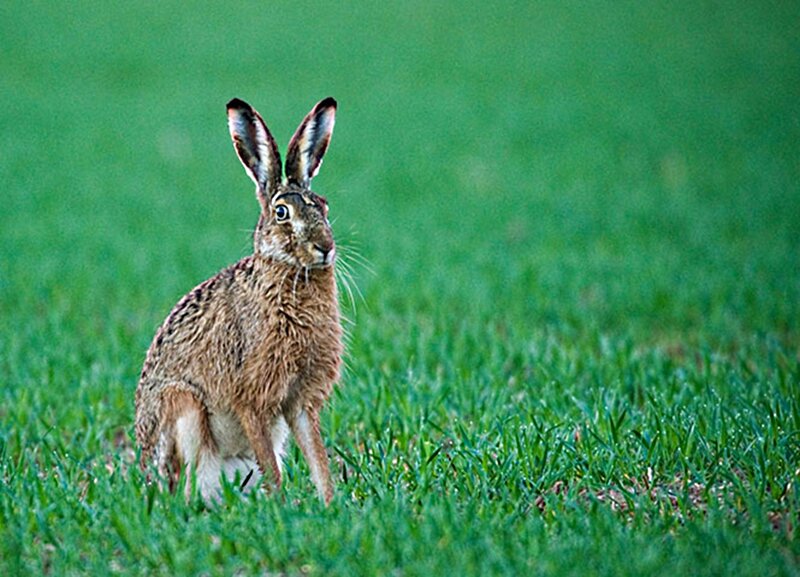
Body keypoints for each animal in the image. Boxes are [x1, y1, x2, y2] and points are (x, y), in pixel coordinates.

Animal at [135, 97, 343, 505]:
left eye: (324, 207)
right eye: (282, 213)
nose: (325, 248)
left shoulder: (300, 401)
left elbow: (316, 454)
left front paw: (330, 503)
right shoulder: (252, 397)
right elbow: (271, 464)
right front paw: (281, 504)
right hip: (184, 408)